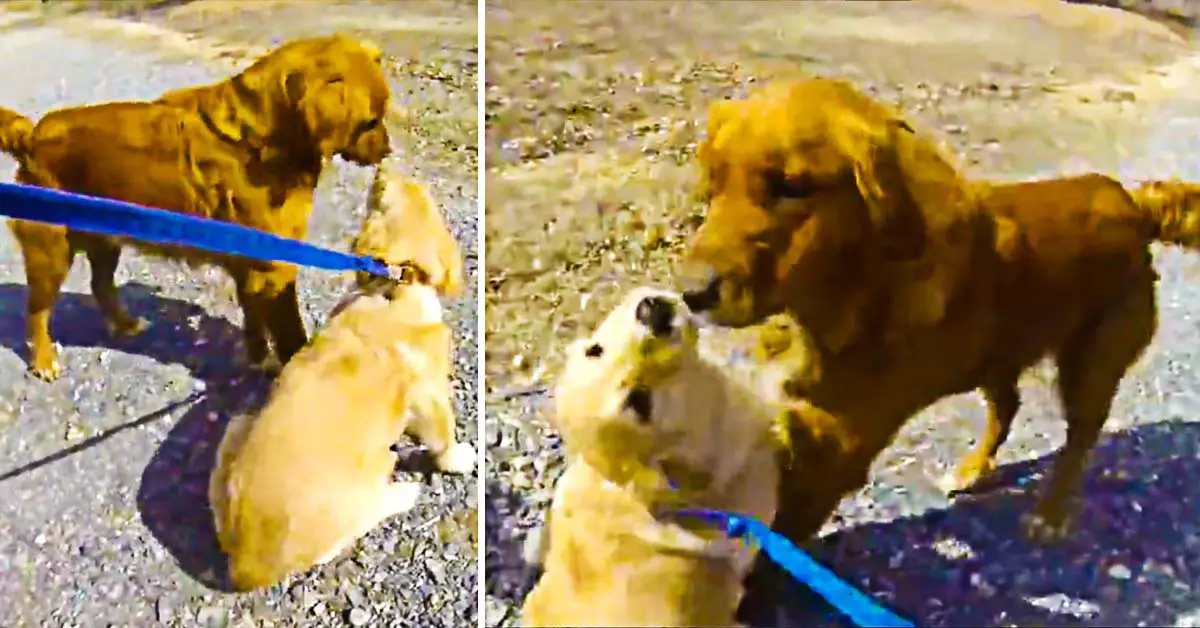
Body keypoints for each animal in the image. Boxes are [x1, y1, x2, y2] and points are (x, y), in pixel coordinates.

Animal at [0, 35, 391, 384]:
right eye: (369, 122)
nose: (388, 150)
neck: (266, 139)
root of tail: (31, 137)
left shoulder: (250, 266)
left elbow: (253, 319)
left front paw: (258, 359)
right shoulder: (274, 267)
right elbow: (290, 334)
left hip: (105, 240)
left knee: (100, 285)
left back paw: (125, 324)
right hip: (50, 250)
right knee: (37, 310)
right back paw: (44, 360)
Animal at [211, 164, 472, 593]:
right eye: (385, 191)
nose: (384, 164)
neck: (396, 287)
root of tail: (244, 567)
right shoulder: (431, 393)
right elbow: (444, 435)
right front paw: (459, 458)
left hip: (237, 426)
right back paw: (403, 490)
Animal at [681, 76, 1200, 542]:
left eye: (791, 186)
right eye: (714, 183)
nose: (690, 293)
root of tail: (1133, 203)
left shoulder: (835, 452)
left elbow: (778, 537)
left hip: (1091, 363)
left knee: (1080, 438)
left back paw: (1049, 516)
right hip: (995, 352)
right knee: (1008, 404)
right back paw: (972, 469)